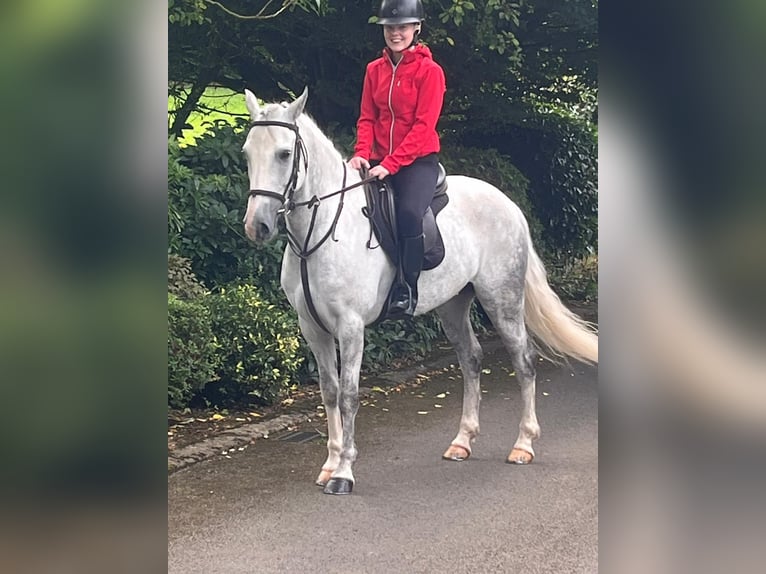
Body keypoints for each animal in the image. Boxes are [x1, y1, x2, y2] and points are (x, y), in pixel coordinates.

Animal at [243, 89, 596, 496]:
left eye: (285, 153)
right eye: (247, 153)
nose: (257, 226)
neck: (323, 229)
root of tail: (508, 204)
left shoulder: (350, 328)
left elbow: (348, 395)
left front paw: (344, 473)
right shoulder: (312, 328)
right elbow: (329, 392)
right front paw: (329, 466)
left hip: (502, 300)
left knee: (523, 360)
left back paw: (523, 445)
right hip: (453, 306)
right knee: (471, 359)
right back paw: (462, 442)